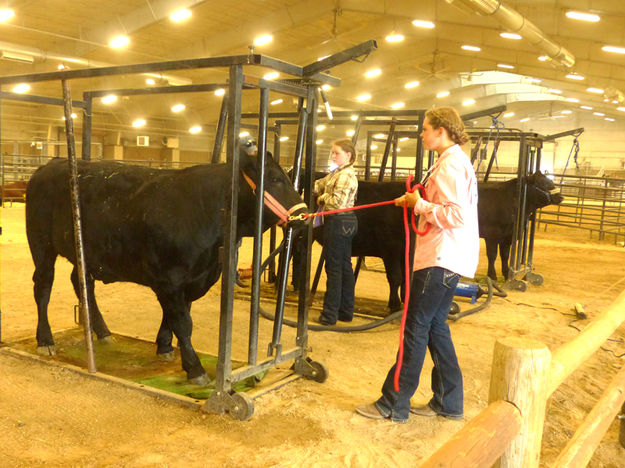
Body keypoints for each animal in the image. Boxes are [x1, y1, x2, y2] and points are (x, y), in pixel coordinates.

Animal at [26, 149, 308, 384]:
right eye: (275, 179)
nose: (304, 216)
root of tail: (51, 163)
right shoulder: (169, 278)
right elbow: (182, 322)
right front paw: (195, 369)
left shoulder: (194, 278)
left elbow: (175, 315)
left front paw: (164, 346)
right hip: (41, 245)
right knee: (43, 287)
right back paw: (45, 340)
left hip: (85, 254)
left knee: (81, 282)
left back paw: (103, 332)